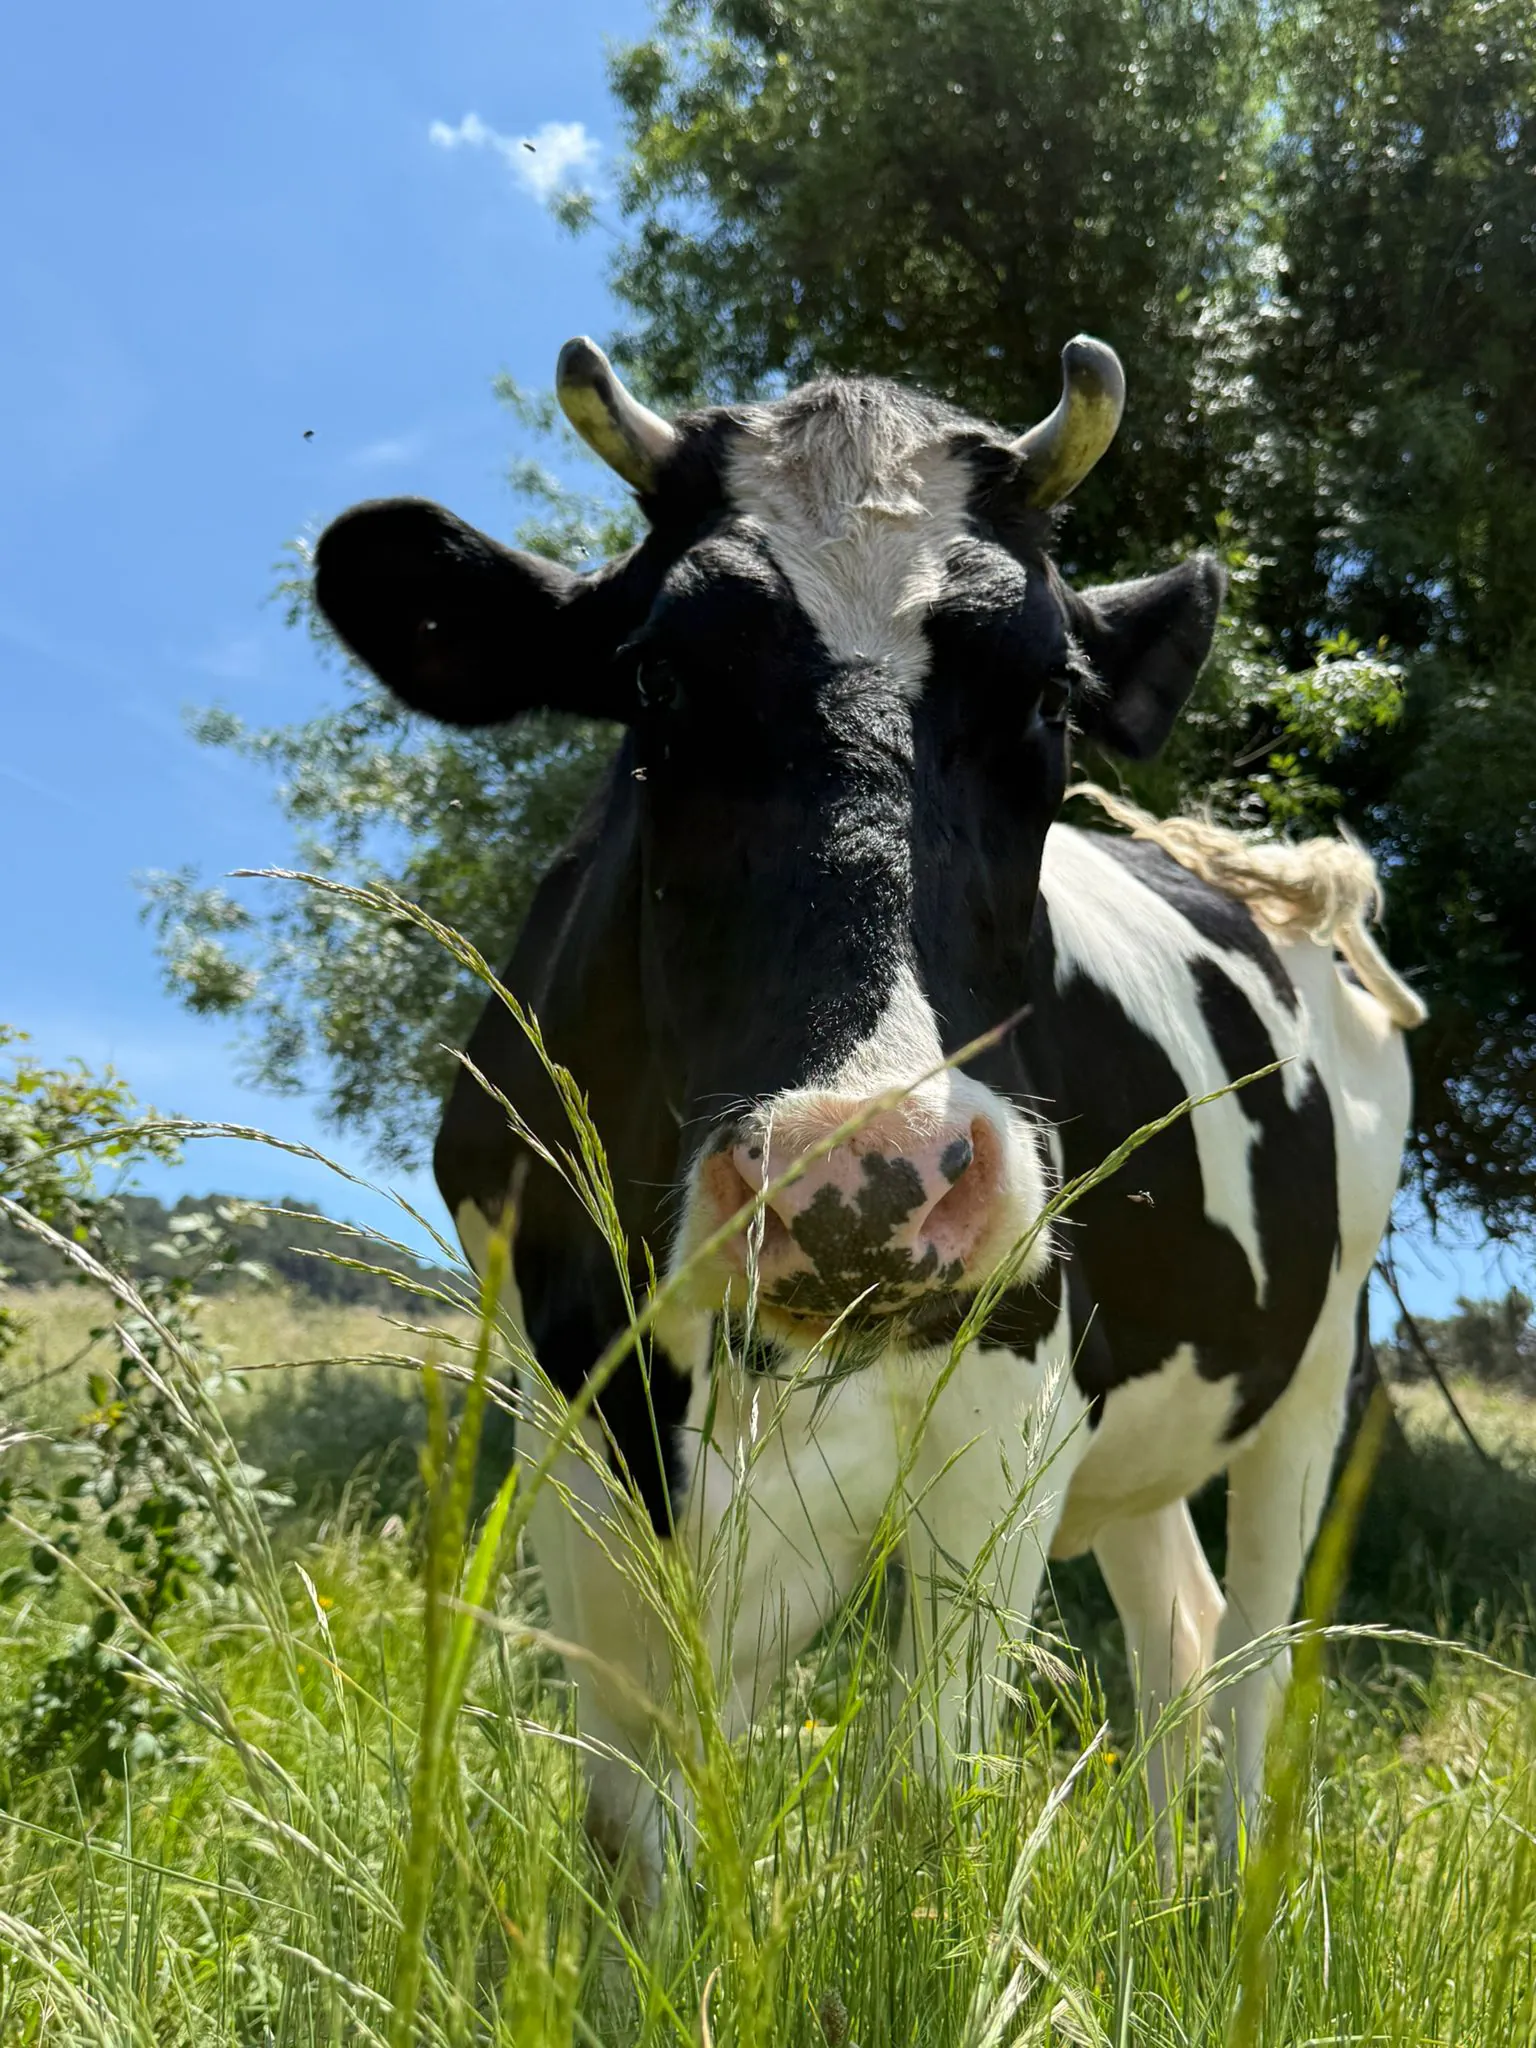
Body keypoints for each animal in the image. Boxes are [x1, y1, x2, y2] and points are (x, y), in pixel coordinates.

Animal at [313, 334, 1423, 1894]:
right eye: (656, 678)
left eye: (1051, 696)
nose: (868, 1174)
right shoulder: (569, 1417)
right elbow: (632, 1818)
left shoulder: (1010, 1413)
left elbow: (911, 1803)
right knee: (1177, 1624)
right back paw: (1154, 1902)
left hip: (1313, 1373)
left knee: (1257, 1654)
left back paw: (1218, 1902)